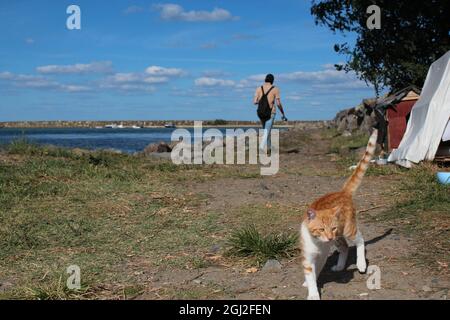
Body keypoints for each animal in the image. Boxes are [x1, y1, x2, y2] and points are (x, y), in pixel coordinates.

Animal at [300, 128, 378, 300]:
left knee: (360, 239)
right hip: (339, 238)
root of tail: (342, 192)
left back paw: (361, 264)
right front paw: (310, 287)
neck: (318, 242)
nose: (329, 237)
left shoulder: (322, 256)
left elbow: (317, 271)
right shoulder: (309, 258)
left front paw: (313, 291)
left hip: (347, 230)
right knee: (344, 247)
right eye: (322, 229)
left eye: (332, 228)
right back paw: (340, 265)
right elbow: (311, 274)